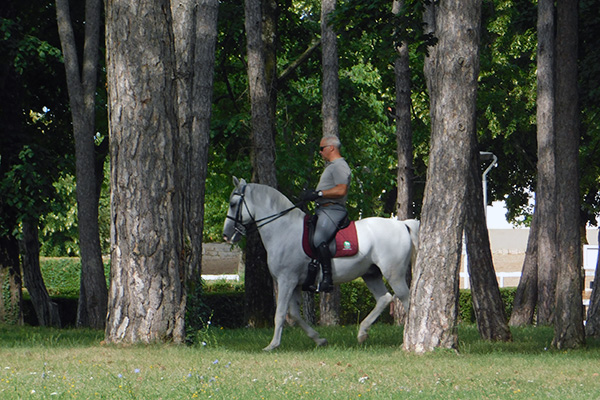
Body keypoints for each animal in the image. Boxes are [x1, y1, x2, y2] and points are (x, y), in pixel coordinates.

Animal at [221, 178, 418, 350]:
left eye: (233, 204)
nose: (226, 235)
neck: (283, 229)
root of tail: (402, 225)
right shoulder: (295, 283)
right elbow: (294, 314)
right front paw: (319, 339)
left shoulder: (286, 280)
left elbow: (281, 313)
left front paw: (272, 345)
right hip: (371, 274)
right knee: (384, 298)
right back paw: (362, 333)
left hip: (393, 274)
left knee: (408, 300)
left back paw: (405, 339)